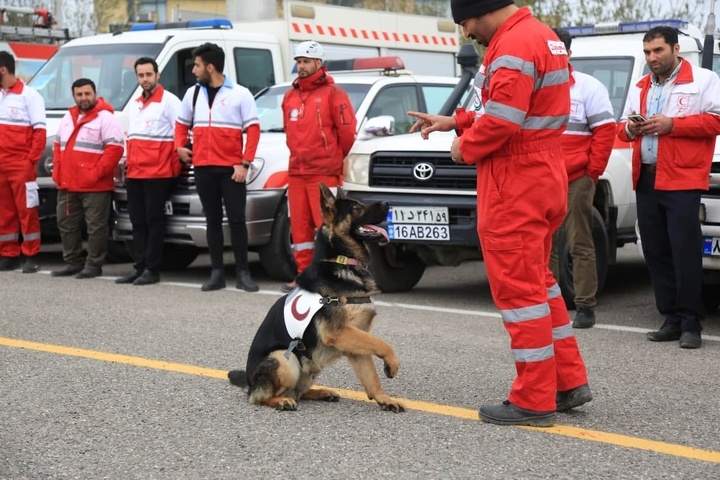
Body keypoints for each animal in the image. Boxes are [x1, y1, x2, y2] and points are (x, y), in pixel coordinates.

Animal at [229, 184, 404, 412]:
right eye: (356, 207)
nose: (387, 203)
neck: (342, 262)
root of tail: (249, 383)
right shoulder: (339, 332)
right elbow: (382, 343)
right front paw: (392, 363)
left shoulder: (357, 343)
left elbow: (372, 377)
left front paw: (385, 399)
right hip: (284, 358)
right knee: (261, 397)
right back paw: (281, 401)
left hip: (309, 367)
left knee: (298, 392)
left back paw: (321, 392)